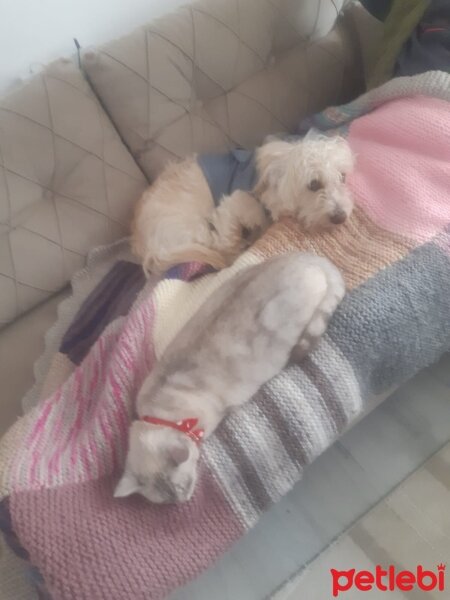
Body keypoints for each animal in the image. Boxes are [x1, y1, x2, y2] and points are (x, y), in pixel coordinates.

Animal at [131, 135, 356, 276]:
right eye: (313, 184)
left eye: (343, 177)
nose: (340, 217)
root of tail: (144, 247)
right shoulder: (233, 204)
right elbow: (238, 228)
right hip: (194, 228)